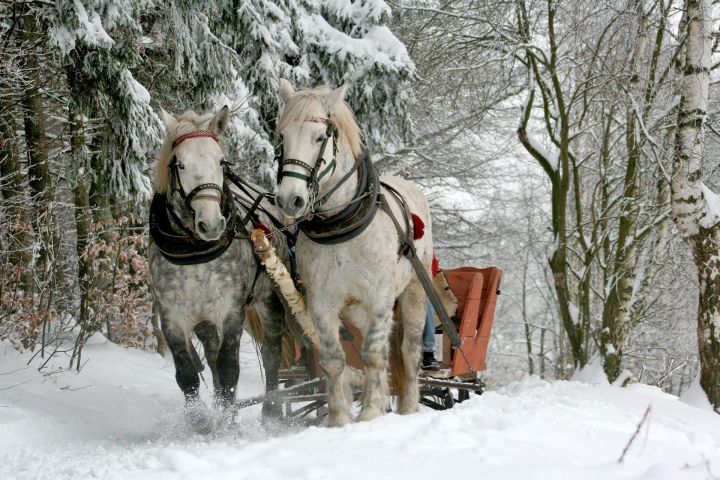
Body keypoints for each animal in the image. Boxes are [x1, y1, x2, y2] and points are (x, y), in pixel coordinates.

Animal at [274, 80, 434, 426]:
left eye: (320, 137)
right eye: (282, 137)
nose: (289, 199)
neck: (341, 224)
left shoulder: (380, 299)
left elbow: (373, 355)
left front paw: (371, 411)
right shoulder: (322, 303)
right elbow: (335, 359)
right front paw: (339, 418)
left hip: (414, 291)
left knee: (408, 350)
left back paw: (408, 406)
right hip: (356, 310)